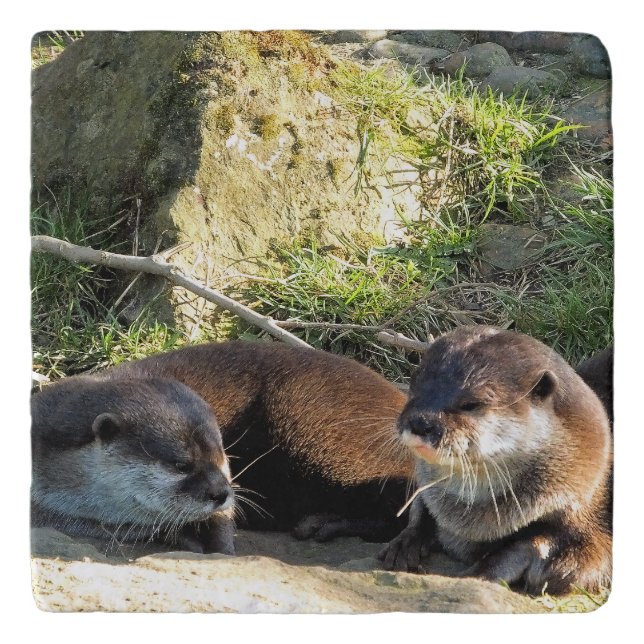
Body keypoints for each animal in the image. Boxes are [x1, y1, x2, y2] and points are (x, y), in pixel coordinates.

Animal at [379, 326, 612, 595]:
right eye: (414, 387)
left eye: (471, 403)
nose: (420, 422)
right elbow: (420, 508)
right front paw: (405, 542)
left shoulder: (588, 514)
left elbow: (552, 554)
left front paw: (477, 575)